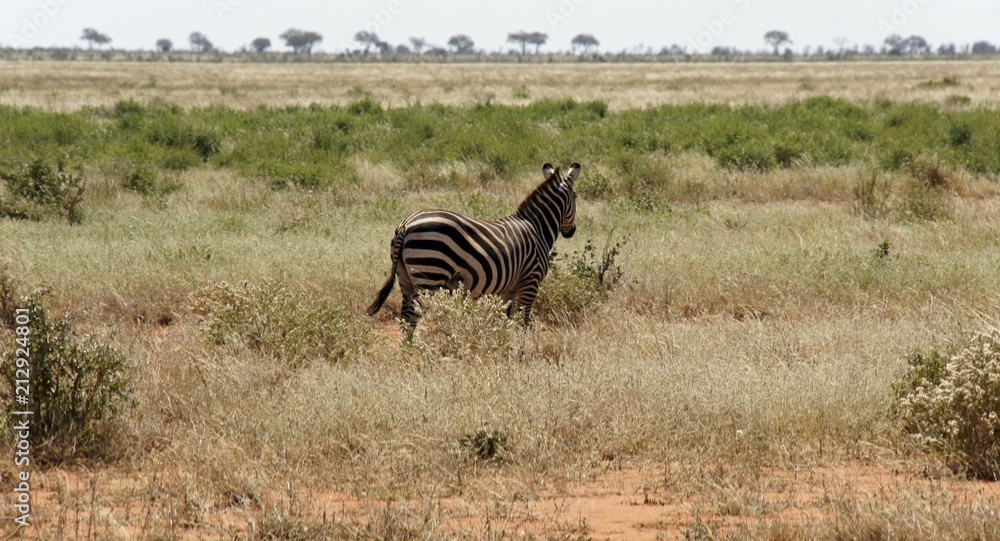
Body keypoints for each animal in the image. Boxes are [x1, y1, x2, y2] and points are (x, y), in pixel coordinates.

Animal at [367, 162, 579, 328]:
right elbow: (522, 323)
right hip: (429, 276)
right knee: (415, 317)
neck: (537, 228)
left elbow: (505, 321)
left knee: (407, 320)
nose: (571, 231)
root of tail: (406, 224)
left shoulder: (508, 290)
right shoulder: (530, 281)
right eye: (576, 196)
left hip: (405, 277)